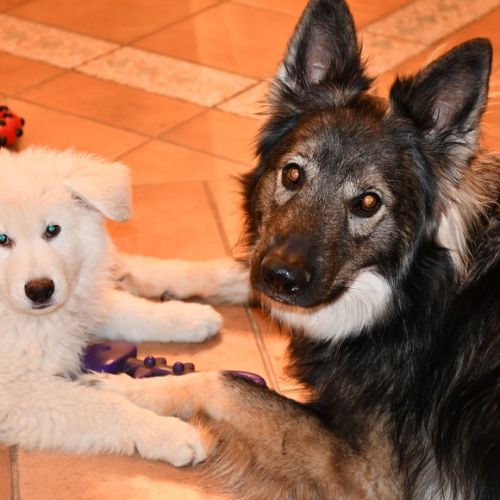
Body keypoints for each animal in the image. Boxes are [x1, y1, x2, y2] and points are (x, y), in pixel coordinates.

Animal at [0, 146, 251, 466]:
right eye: (2, 239)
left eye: (52, 230)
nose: (40, 290)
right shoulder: (17, 394)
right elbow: (103, 406)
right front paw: (169, 433)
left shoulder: (80, 296)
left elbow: (126, 309)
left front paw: (185, 315)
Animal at [87, 0, 500, 498]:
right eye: (293, 174)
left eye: (368, 202)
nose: (281, 277)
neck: (417, 295)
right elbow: (237, 271)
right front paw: (140, 272)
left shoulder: (369, 474)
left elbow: (228, 384)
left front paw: (126, 391)